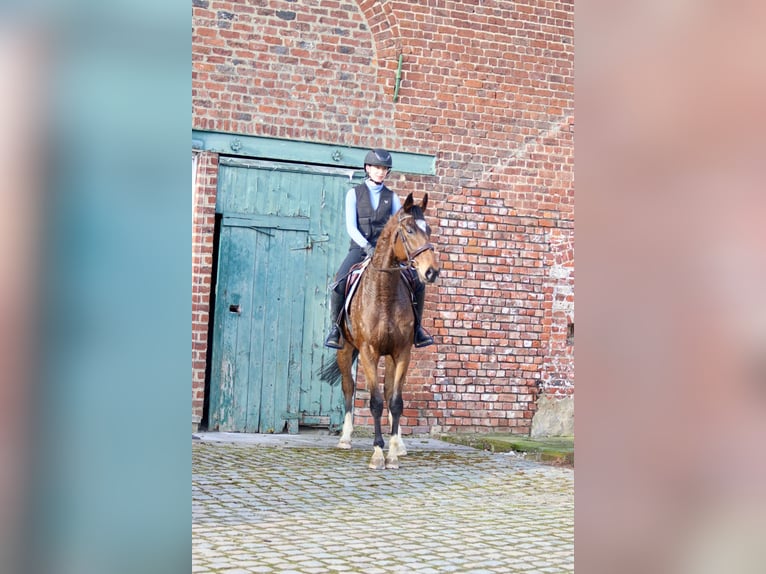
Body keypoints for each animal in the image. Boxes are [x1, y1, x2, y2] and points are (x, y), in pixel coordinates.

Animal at [320, 194, 440, 472]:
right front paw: (377, 453)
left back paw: (399, 444)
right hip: (345, 350)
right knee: (349, 388)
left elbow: (395, 401)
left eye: (428, 229)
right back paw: (345, 438)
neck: (384, 293)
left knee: (389, 393)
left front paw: (393, 453)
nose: (431, 272)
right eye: (409, 231)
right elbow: (374, 401)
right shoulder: (368, 353)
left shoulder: (402, 352)